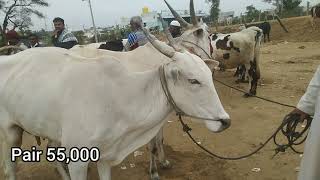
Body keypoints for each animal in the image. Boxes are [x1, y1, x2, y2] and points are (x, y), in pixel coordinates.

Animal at [0, 28, 230, 179]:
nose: (225, 121)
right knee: (11, 167)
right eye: (193, 80)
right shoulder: (78, 159)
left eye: (208, 75)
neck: (121, 96)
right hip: (11, 132)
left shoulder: (105, 156)